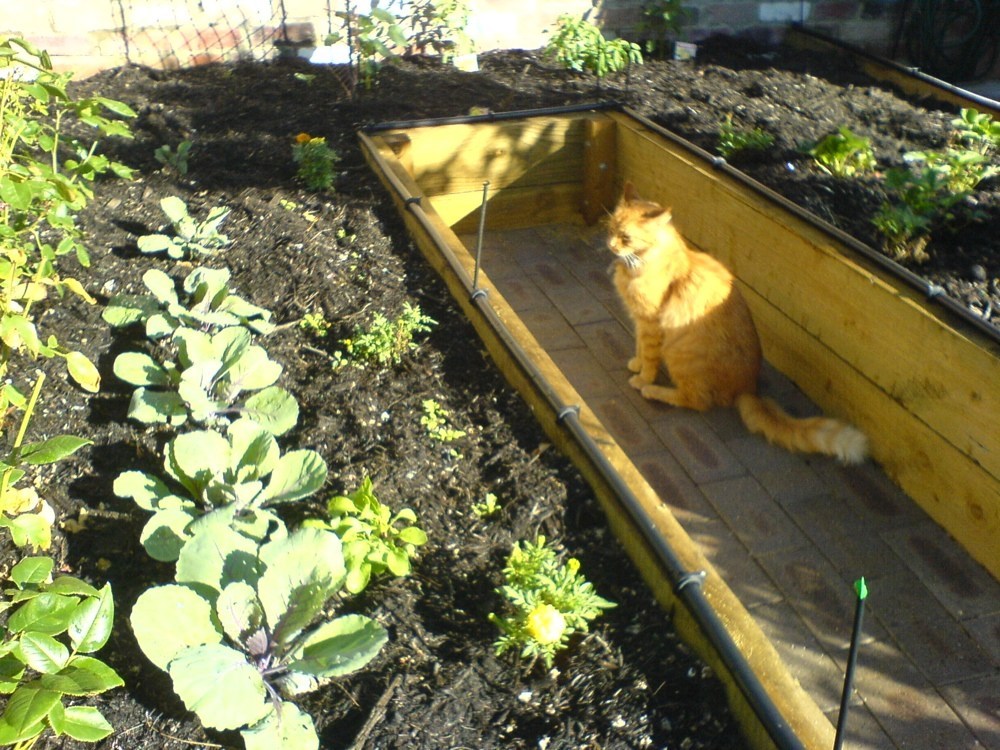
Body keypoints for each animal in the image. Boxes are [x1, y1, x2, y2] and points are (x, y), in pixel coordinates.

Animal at [604, 182, 872, 464]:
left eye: (626, 237)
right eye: (610, 228)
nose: (610, 244)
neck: (644, 263)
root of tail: (749, 387)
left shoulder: (651, 325)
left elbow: (650, 358)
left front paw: (643, 377)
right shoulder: (640, 322)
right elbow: (639, 348)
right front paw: (636, 364)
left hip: (678, 354)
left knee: (697, 401)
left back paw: (653, 390)